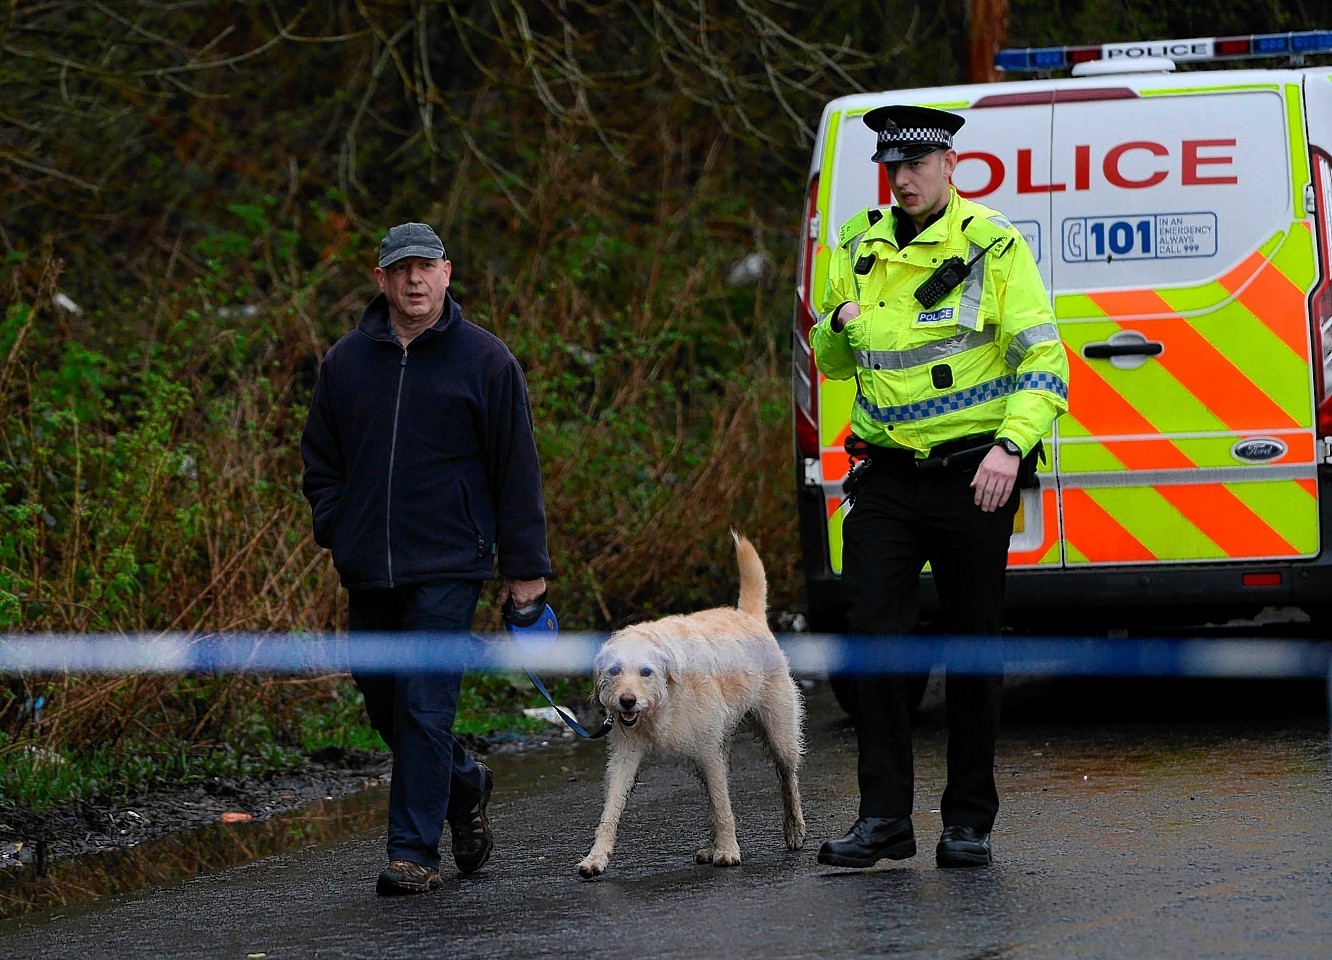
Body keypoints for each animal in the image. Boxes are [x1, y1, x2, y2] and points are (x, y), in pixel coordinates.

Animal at [572, 532, 799, 878]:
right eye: (614, 671)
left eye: (646, 672)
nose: (627, 701)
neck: (662, 701)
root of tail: (747, 616)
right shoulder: (626, 757)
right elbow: (611, 809)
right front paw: (596, 858)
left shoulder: (708, 751)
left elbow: (723, 806)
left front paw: (729, 851)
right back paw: (711, 846)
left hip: (779, 735)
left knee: (788, 780)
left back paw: (794, 830)